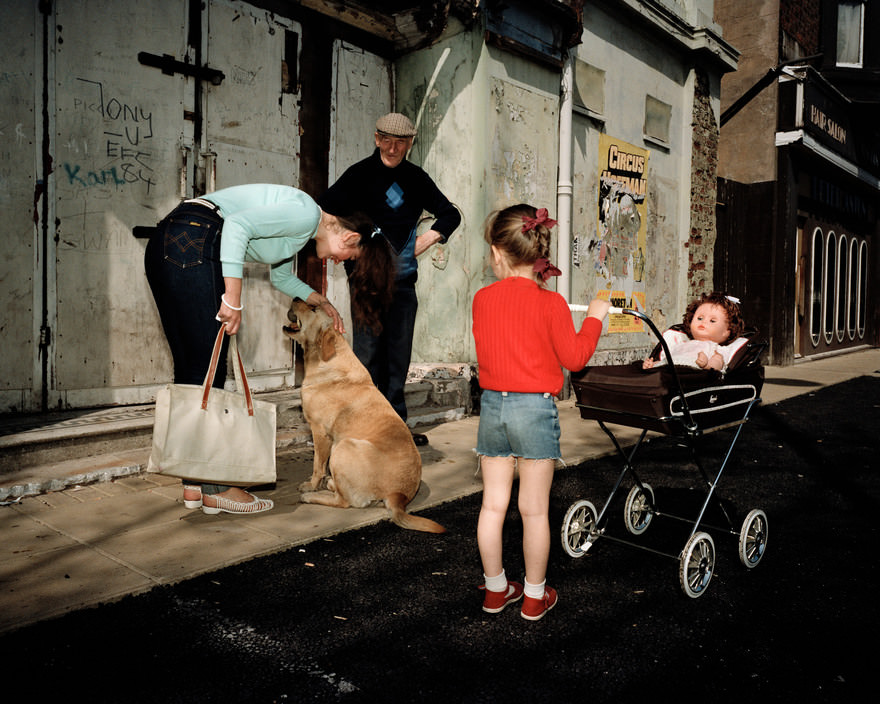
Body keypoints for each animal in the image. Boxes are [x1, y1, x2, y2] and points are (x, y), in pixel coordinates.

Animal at [284, 298, 446, 532]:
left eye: (313, 308)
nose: (297, 297)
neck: (326, 358)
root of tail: (398, 496)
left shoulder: (320, 432)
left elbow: (317, 466)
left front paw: (311, 486)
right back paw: (331, 483)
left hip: (342, 446)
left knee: (343, 501)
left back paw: (314, 495)